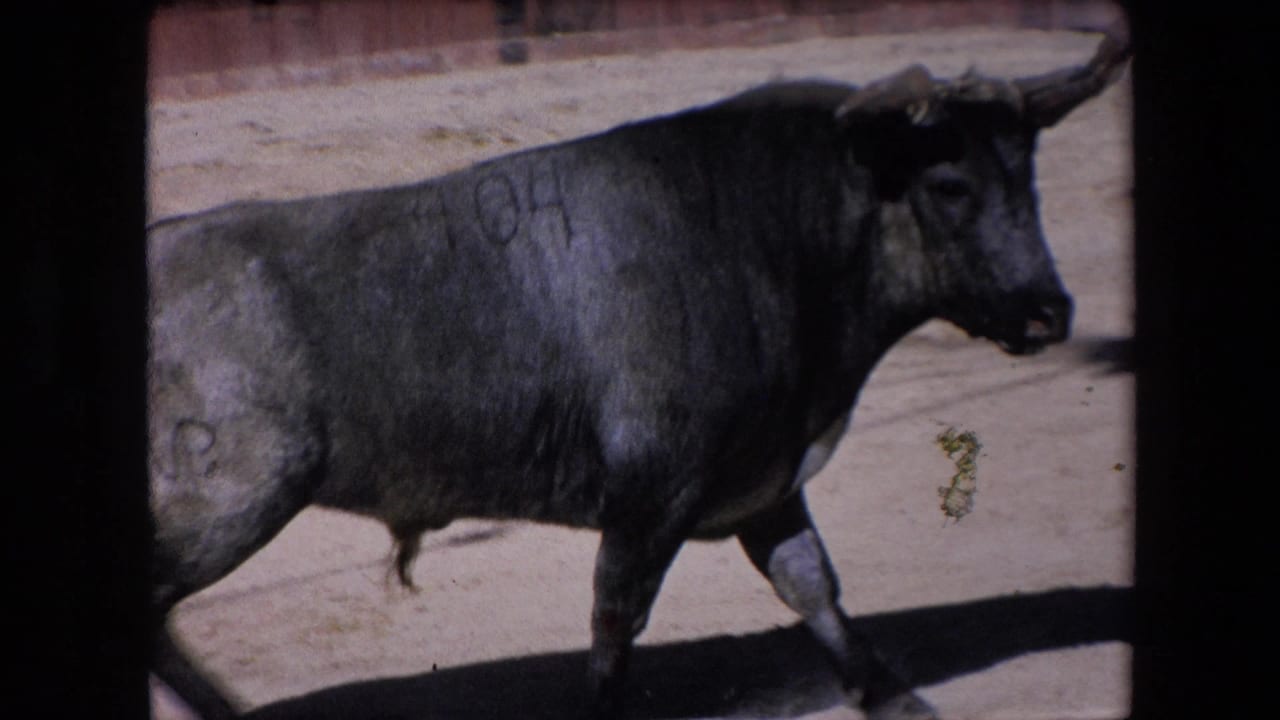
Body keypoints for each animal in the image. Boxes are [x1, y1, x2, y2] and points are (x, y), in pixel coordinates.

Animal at [148, 28, 1130, 720]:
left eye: (1028, 179)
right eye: (950, 186)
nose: (1049, 312)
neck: (771, 233)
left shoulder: (765, 478)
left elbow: (812, 584)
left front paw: (893, 696)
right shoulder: (652, 497)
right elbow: (617, 622)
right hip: (232, 499)